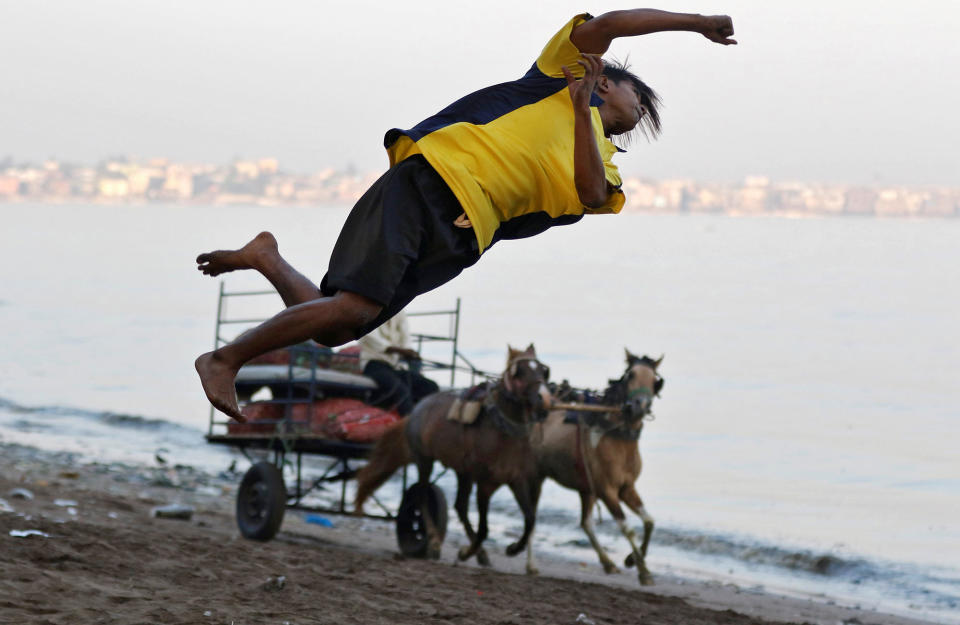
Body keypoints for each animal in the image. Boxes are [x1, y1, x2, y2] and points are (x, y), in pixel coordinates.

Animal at [354, 344, 552, 564]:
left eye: (543, 371)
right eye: (519, 372)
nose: (544, 398)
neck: (501, 431)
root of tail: (417, 408)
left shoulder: (516, 479)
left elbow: (530, 519)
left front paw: (514, 548)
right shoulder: (485, 483)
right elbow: (484, 529)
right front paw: (468, 552)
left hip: (462, 470)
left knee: (460, 506)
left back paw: (478, 552)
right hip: (424, 460)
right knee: (423, 497)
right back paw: (433, 541)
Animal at [528, 348, 664, 584]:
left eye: (655, 380)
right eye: (631, 375)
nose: (638, 406)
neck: (616, 436)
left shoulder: (626, 488)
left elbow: (649, 521)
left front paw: (632, 559)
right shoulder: (607, 491)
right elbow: (628, 529)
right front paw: (643, 570)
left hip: (586, 488)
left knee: (586, 523)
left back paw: (608, 562)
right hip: (534, 476)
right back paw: (530, 565)